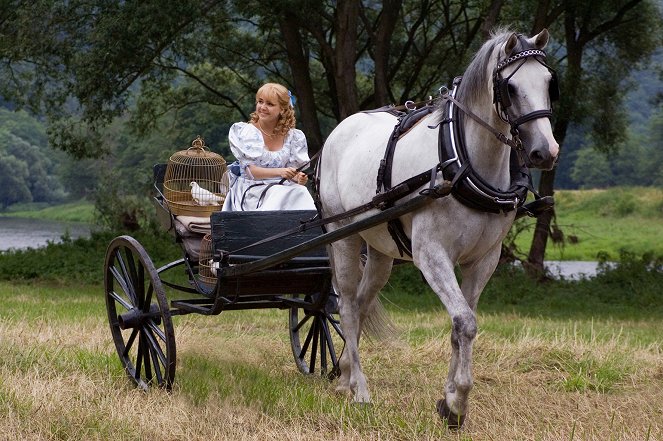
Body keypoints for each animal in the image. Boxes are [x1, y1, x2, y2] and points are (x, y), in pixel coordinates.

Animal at [320, 28, 556, 426]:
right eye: (510, 88)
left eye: (549, 82)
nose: (545, 151)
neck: (461, 162)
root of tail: (340, 129)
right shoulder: (432, 255)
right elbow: (465, 321)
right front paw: (458, 401)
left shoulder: (485, 260)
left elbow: (462, 326)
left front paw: (448, 400)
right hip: (344, 238)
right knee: (348, 307)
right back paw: (361, 390)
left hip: (381, 250)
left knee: (363, 304)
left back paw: (346, 378)